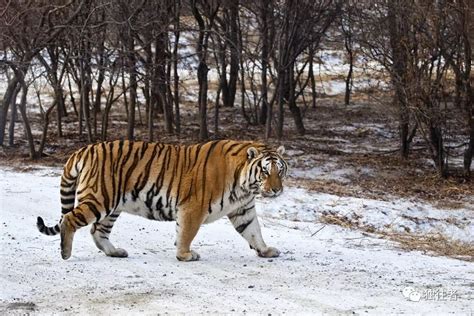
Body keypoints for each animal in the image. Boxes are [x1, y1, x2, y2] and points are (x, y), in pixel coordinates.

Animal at [36, 139, 288, 260]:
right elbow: (186, 233)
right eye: (265, 172)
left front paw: (266, 251)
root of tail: (84, 149)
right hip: (99, 199)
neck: (244, 186)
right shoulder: (192, 207)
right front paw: (185, 255)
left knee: (97, 231)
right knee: (69, 219)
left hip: (112, 206)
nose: (276, 190)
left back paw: (115, 252)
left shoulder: (242, 210)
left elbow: (254, 232)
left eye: (280, 171)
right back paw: (65, 253)